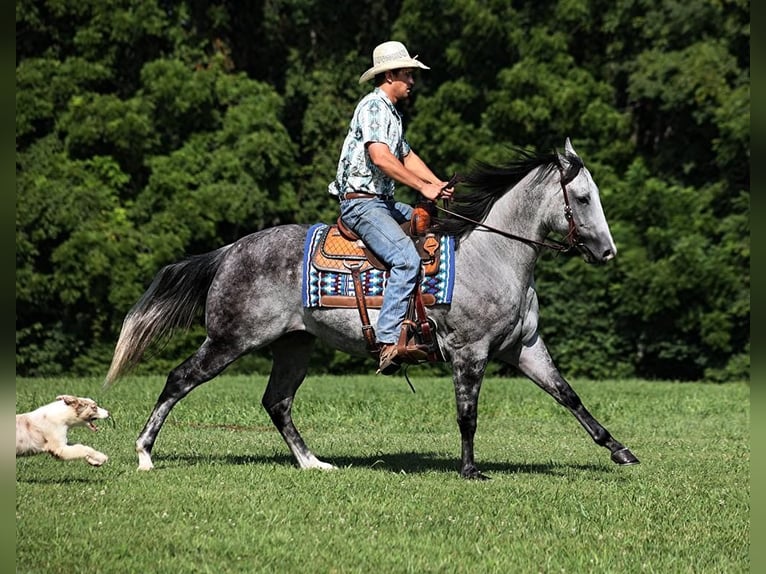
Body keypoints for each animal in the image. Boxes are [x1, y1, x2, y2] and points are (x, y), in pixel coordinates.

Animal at [103, 140, 640, 482]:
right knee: (180, 379)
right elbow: (468, 414)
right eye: (584, 198)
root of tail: (231, 250)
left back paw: (313, 464)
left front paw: (620, 450)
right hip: (230, 341)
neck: (493, 256)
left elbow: (569, 397)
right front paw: (470, 470)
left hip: (293, 347)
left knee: (277, 403)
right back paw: (144, 454)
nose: (608, 252)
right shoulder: (470, 353)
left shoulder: (524, 347)